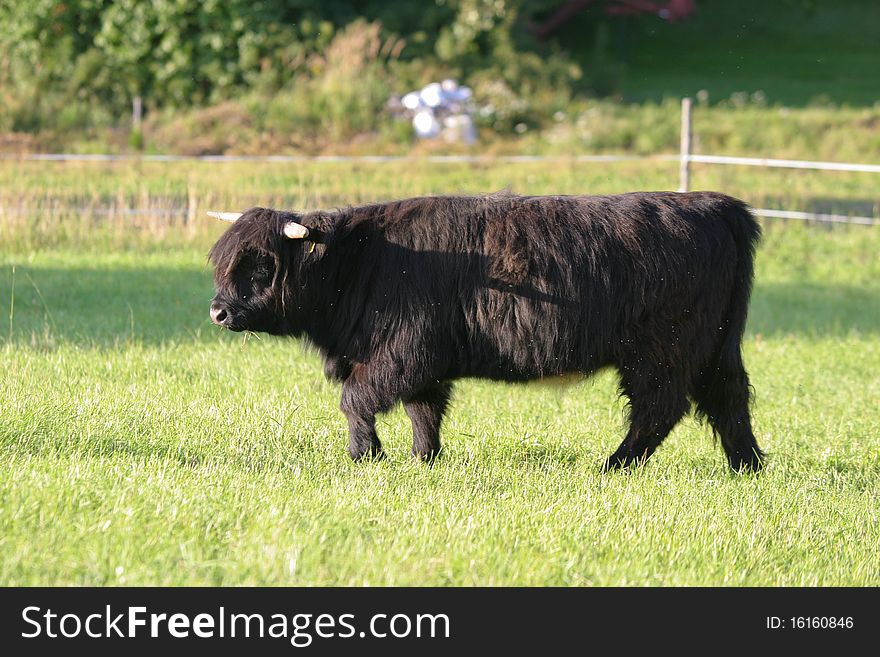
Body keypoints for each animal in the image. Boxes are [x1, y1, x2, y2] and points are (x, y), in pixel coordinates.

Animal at [208, 191, 764, 472]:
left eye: (260, 264)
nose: (218, 312)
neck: (361, 260)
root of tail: (716, 206)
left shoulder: (402, 351)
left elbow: (358, 398)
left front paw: (366, 456)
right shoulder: (423, 361)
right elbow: (423, 409)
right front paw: (423, 459)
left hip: (661, 349)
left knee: (659, 407)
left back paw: (613, 465)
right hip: (716, 344)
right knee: (728, 398)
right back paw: (747, 466)